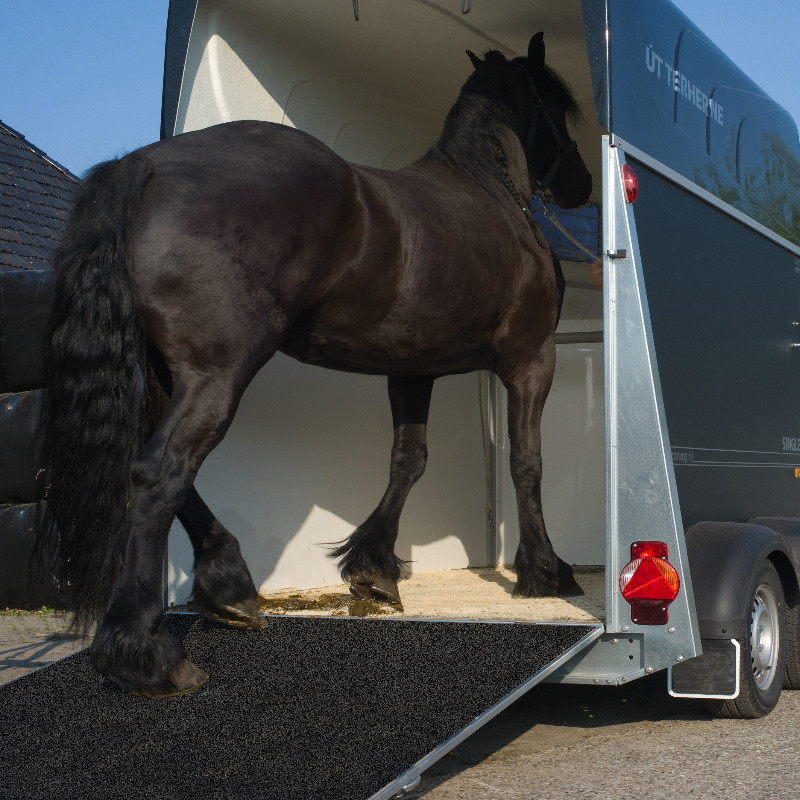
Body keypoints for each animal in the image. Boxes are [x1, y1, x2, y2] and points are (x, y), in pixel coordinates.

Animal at [43, 32, 592, 692]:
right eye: (555, 108)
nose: (583, 184)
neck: (491, 194)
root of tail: (146, 164)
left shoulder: (413, 367)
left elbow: (408, 461)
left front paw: (374, 568)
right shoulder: (531, 359)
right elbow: (526, 462)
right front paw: (545, 571)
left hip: (165, 377)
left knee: (164, 473)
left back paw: (228, 585)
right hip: (218, 373)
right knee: (160, 473)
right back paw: (146, 653)